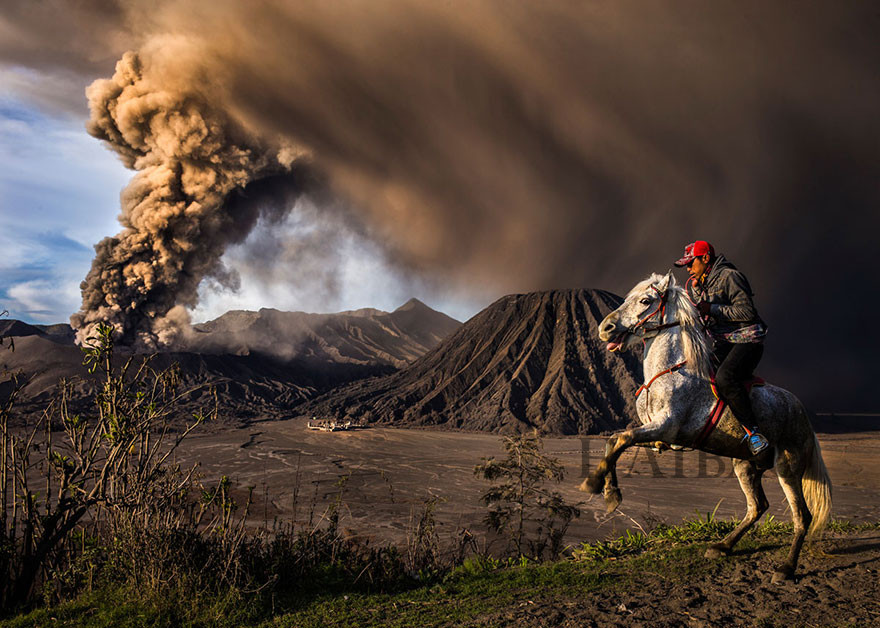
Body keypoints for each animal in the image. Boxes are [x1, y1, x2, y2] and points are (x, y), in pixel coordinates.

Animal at [580, 272, 828, 580]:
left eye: (645, 300)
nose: (605, 328)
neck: (672, 371)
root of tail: (801, 412)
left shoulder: (665, 426)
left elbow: (622, 439)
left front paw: (594, 484)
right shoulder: (662, 438)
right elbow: (614, 440)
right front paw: (610, 493)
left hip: (788, 466)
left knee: (802, 516)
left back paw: (786, 568)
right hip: (745, 465)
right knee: (757, 507)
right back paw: (722, 546)